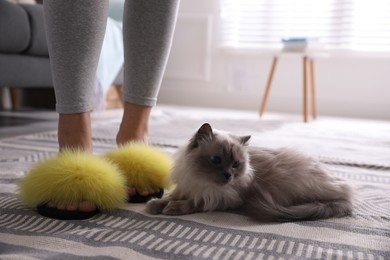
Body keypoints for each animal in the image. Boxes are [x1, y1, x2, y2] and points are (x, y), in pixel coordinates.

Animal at [146, 123, 354, 220]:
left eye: (235, 164)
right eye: (216, 160)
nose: (228, 175)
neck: (200, 181)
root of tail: (347, 193)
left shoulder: (222, 198)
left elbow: (195, 203)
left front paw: (172, 208)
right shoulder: (187, 185)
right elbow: (170, 196)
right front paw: (155, 205)